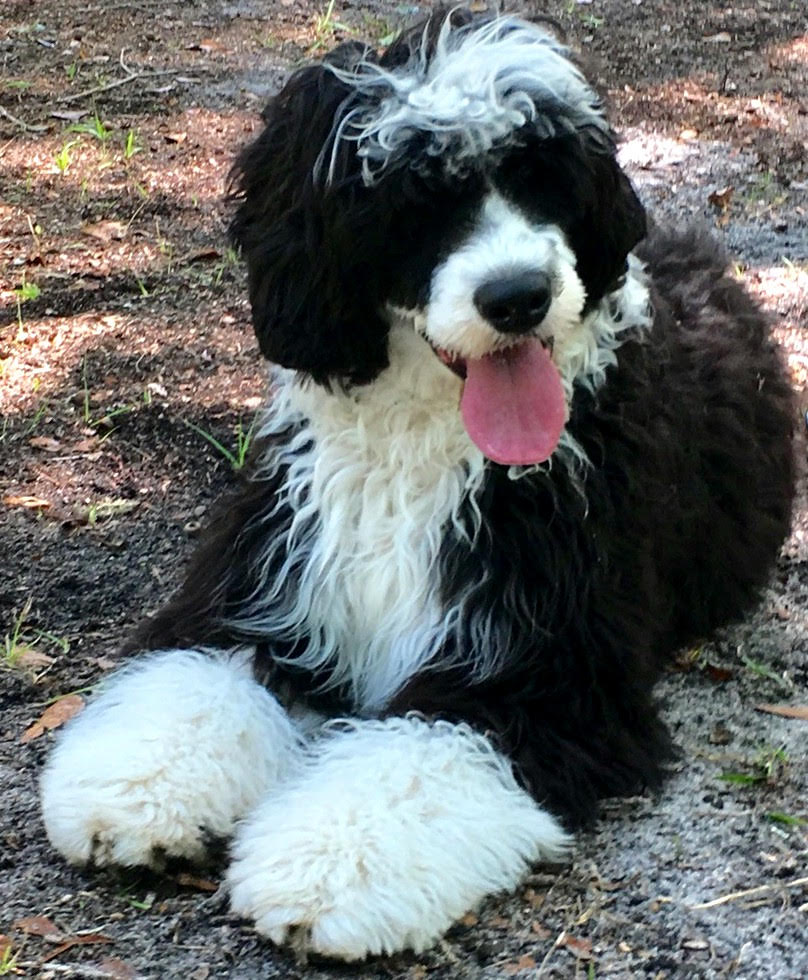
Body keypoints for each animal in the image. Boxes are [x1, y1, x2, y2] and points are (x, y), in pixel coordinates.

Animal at [41, 3, 792, 960]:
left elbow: (418, 755)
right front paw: (137, 787)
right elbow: (196, 675)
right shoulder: (268, 585)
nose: (518, 295)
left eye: (544, 175)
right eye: (411, 198)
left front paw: (327, 868)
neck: (425, 442)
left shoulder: (545, 669)